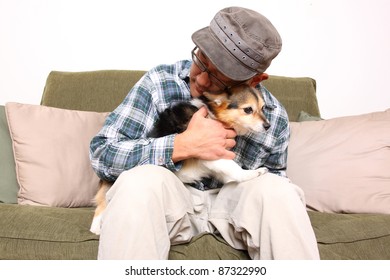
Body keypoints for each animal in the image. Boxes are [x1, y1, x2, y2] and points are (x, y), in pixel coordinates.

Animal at [90, 85, 270, 234]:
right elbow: (235, 168)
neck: (214, 115)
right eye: (248, 110)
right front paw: (253, 173)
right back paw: (97, 226)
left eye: (263, 108)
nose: (268, 126)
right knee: (101, 206)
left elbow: (229, 174)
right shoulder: (211, 154)